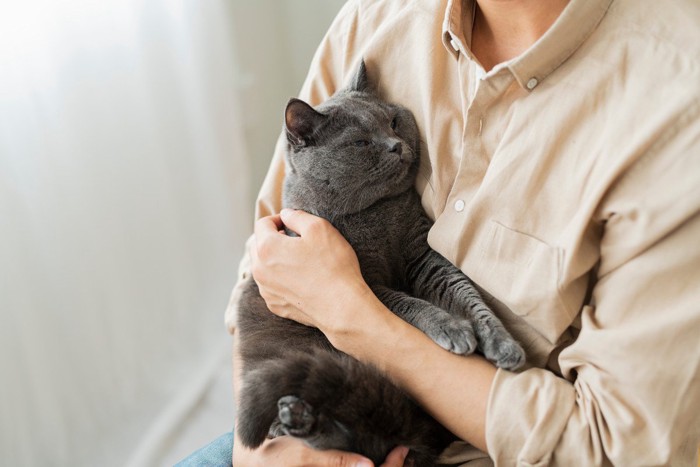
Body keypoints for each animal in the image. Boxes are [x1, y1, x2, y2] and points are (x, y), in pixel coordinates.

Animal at [237, 63, 524, 467]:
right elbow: (410, 304)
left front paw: (501, 342)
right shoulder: (366, 283)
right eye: (360, 142)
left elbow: (465, 292)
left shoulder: (422, 254)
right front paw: (453, 329)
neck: (377, 213)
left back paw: (301, 419)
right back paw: (294, 420)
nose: (396, 145)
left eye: (393, 121)